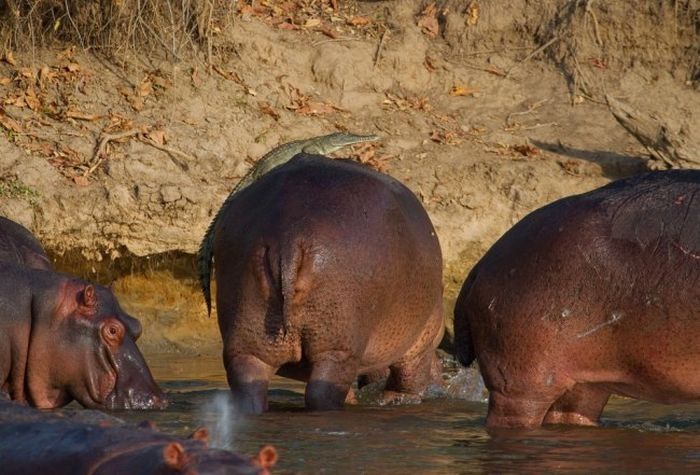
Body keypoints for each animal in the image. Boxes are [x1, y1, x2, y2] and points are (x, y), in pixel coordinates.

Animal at [205, 155, 442, 412]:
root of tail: (287, 235)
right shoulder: (423, 339)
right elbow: (409, 379)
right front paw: (399, 398)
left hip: (248, 342)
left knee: (249, 387)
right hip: (337, 348)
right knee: (324, 393)